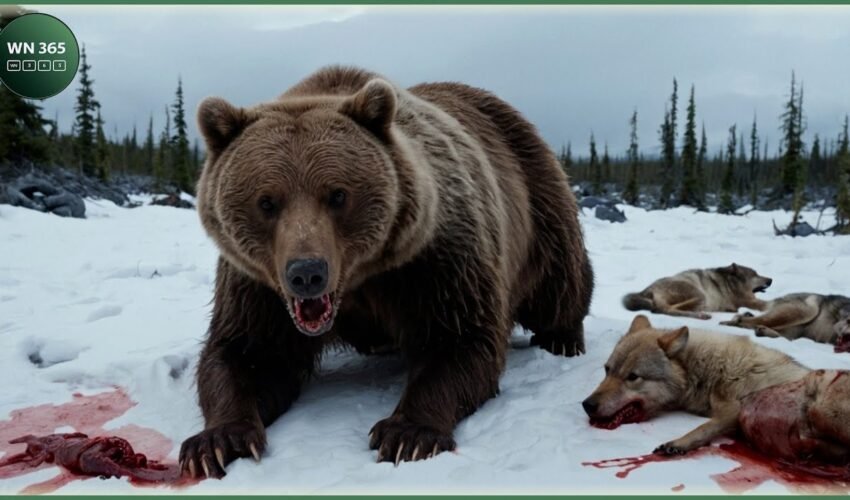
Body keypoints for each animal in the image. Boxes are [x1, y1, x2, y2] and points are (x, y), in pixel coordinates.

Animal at [179, 66, 594, 478]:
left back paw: (562, 339)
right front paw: (216, 442)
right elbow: (248, 353)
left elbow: (459, 340)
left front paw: (408, 433)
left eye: (337, 194)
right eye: (267, 201)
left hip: (536, 201)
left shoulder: (435, 260)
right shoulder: (257, 285)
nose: (307, 273)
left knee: (559, 284)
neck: (359, 281)